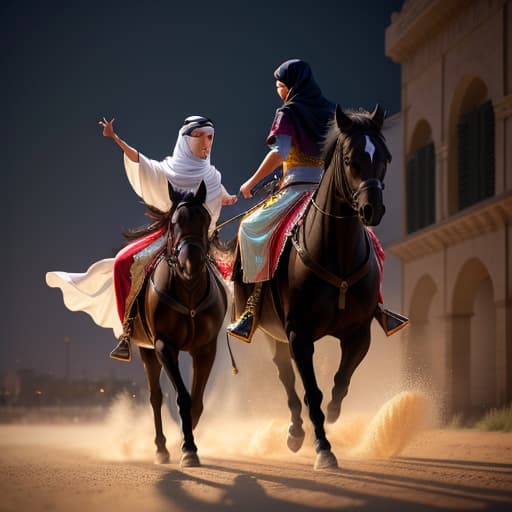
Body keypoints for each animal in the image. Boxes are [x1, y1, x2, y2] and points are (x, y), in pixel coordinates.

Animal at [131, 181, 227, 468]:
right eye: (175, 223)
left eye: (205, 219)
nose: (191, 262)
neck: (189, 290)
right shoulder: (164, 346)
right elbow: (182, 397)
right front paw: (187, 448)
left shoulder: (206, 349)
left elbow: (196, 402)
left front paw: (188, 440)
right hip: (147, 351)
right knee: (155, 397)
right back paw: (161, 449)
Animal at [232, 105, 392, 472]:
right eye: (350, 159)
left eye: (385, 157)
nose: (372, 209)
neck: (337, 256)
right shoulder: (298, 335)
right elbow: (310, 390)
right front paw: (323, 448)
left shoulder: (359, 333)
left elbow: (340, 383)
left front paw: (332, 417)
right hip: (272, 332)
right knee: (286, 377)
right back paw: (294, 432)